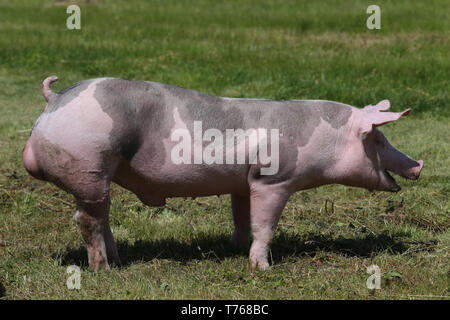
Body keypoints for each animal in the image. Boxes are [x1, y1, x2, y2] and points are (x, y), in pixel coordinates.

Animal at [22, 75, 424, 272]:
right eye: (378, 138)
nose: (419, 165)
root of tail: (54, 101)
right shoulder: (273, 180)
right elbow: (265, 225)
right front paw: (262, 268)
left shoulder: (244, 182)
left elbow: (241, 216)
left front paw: (234, 248)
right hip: (88, 165)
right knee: (86, 219)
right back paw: (101, 269)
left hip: (99, 176)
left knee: (102, 216)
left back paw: (118, 261)